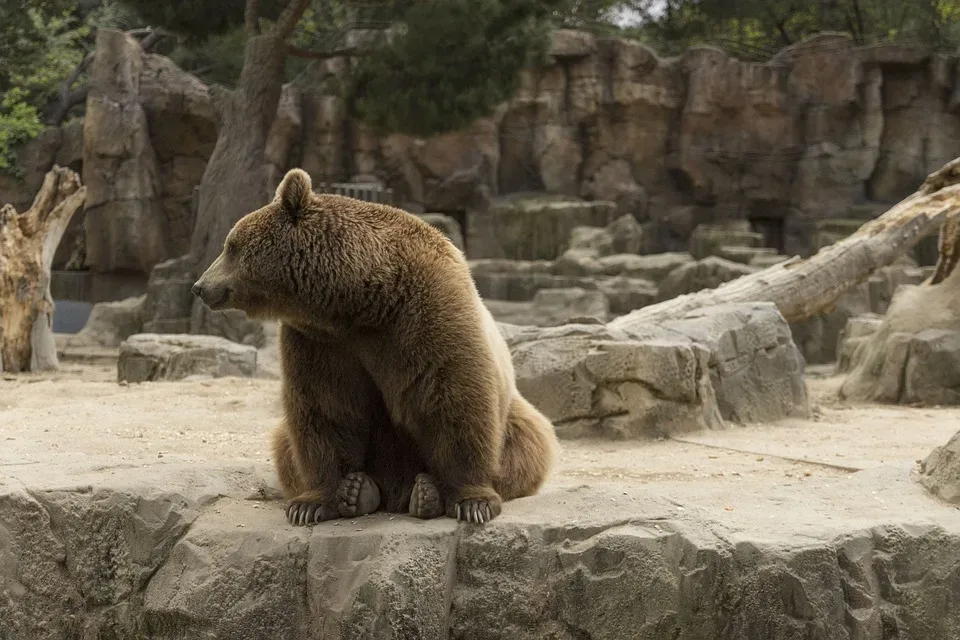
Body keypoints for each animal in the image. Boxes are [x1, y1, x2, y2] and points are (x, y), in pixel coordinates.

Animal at [191, 168, 560, 524]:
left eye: (231, 246)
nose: (199, 286)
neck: (360, 300)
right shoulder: (321, 342)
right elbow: (326, 408)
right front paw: (317, 502)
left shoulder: (427, 312)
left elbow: (454, 394)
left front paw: (473, 502)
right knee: (285, 444)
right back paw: (364, 492)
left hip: (514, 416)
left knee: (527, 442)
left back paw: (425, 493)